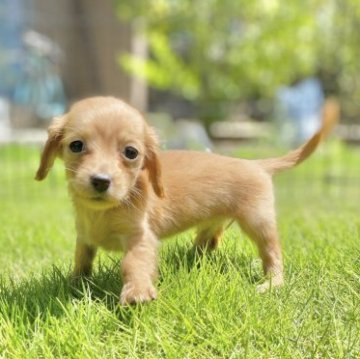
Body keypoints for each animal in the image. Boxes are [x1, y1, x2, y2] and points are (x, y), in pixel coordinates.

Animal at [35, 97, 338, 306]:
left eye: (131, 153)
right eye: (76, 145)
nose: (100, 181)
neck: (104, 212)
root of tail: (256, 164)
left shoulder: (141, 237)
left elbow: (134, 263)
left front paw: (137, 291)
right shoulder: (84, 237)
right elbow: (82, 261)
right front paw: (74, 285)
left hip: (258, 222)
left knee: (272, 253)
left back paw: (272, 283)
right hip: (213, 223)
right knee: (208, 241)